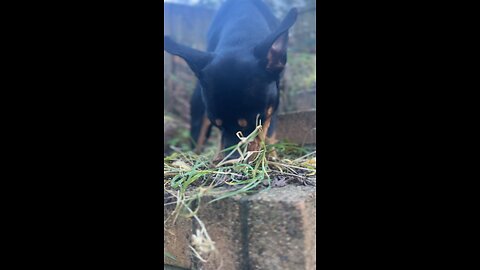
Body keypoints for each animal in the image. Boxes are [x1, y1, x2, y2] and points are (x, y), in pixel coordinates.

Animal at [165, 0, 296, 158]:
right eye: (217, 124)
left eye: (254, 122)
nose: (232, 159)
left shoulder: (274, 100)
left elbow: (269, 130)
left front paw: (271, 155)